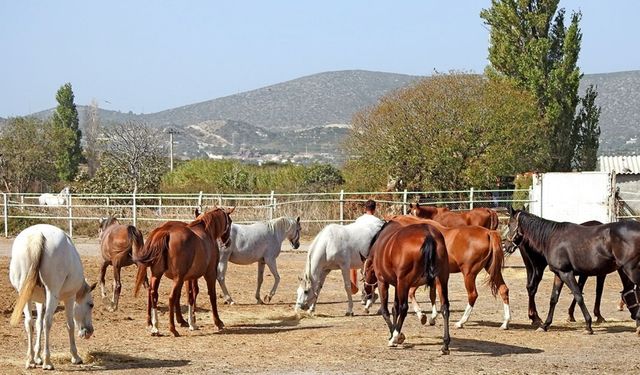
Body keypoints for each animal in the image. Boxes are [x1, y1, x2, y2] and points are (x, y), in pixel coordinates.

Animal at [9, 225, 96, 372]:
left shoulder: (39, 301)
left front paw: (37, 357)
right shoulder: (70, 298)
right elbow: (70, 325)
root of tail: (37, 234)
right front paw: (75, 356)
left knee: (29, 322)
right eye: (91, 305)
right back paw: (48, 362)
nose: (89, 332)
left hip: (25, 294)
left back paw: (30, 360)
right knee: (47, 322)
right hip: (52, 294)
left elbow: (38, 324)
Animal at [134, 209, 234, 338]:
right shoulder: (210, 273)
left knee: (153, 294)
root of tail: (165, 232)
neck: (206, 231)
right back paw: (172, 328)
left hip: (157, 275)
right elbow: (212, 296)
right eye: (230, 222)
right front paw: (218, 322)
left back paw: (155, 327)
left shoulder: (190, 277)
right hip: (177, 278)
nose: (228, 242)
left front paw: (193, 323)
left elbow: (191, 295)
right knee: (171, 297)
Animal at [362, 220, 452, 356]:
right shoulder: (397, 283)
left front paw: (395, 336)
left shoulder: (384, 282)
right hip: (442, 279)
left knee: (404, 308)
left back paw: (394, 337)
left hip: (404, 282)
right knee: (445, 307)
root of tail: (428, 234)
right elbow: (395, 308)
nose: (366, 291)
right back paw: (445, 344)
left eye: (364, 271)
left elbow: (386, 310)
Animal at [504, 209, 640, 334]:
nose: (506, 246)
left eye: (509, 224)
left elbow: (578, 295)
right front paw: (545, 325)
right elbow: (554, 299)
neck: (552, 237)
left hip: (630, 270)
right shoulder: (559, 274)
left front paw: (588, 325)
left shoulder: (567, 273)